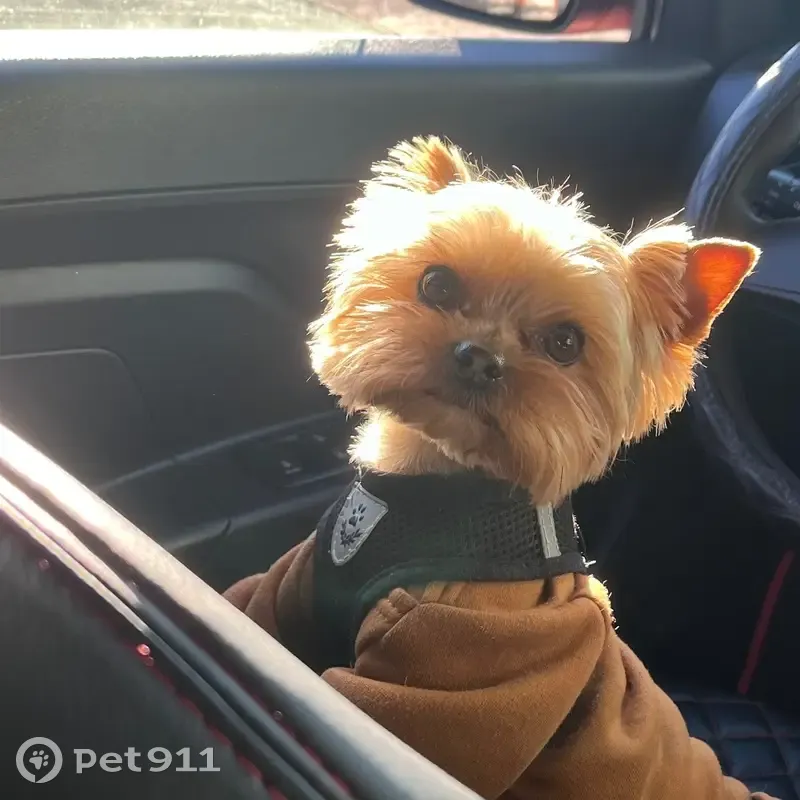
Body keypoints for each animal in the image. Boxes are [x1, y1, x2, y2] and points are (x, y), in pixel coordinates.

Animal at [226, 136, 771, 799]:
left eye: (566, 343)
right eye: (437, 283)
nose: (479, 357)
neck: (436, 481)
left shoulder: (450, 664)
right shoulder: (292, 588)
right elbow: (252, 614)